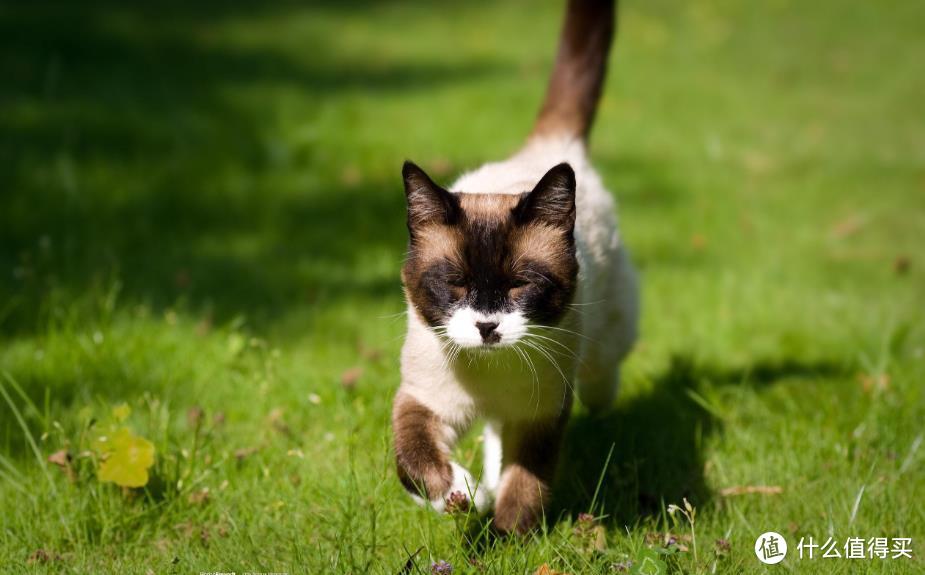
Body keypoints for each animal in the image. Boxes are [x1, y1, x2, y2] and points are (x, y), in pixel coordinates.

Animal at [390, 0, 636, 536]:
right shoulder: (424, 401)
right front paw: (459, 496)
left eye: (522, 285)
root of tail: (549, 148)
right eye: (456, 284)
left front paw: (505, 538)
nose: (487, 326)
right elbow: (414, 462)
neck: (490, 372)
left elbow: (524, 486)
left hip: (604, 345)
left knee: (601, 380)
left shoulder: (539, 417)